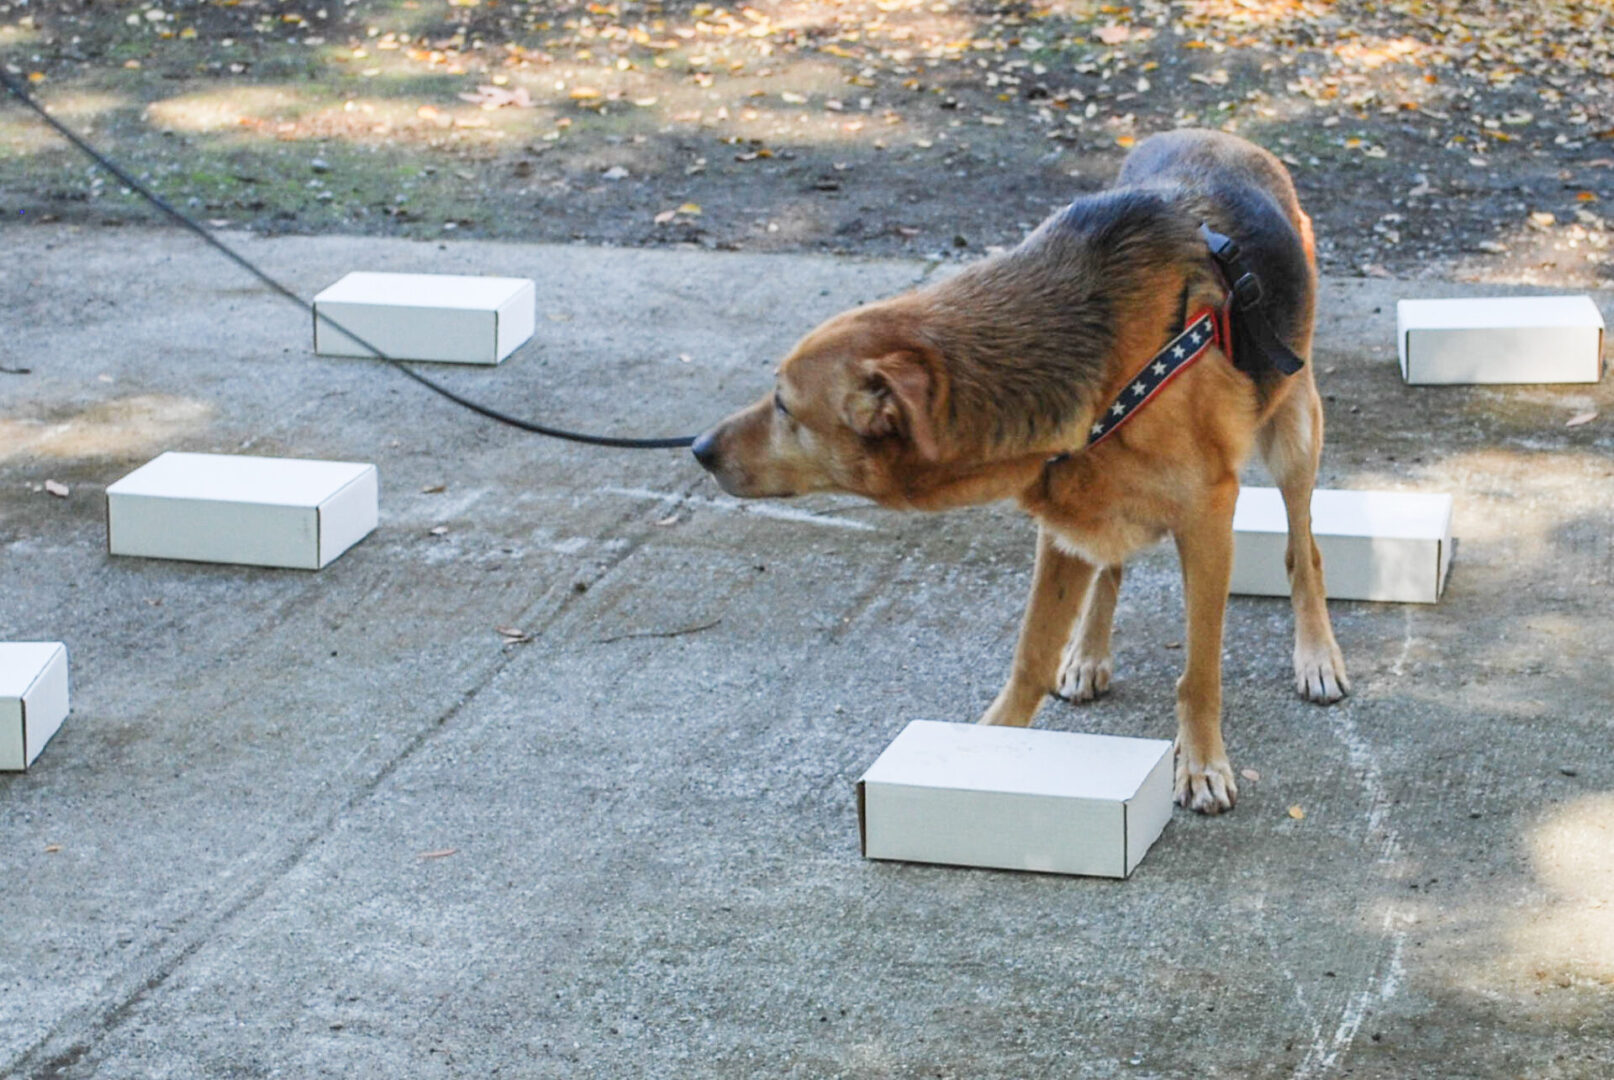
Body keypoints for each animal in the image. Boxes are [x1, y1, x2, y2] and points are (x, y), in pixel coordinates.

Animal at [690, 130, 1349, 813]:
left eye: (784, 406)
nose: (698, 448)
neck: (1108, 368)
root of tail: (1226, 137)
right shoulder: (1061, 524)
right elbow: (1031, 654)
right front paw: (988, 748)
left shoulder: (1209, 521)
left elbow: (1199, 672)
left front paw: (1200, 764)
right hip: (1092, 508)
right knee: (1110, 566)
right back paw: (1088, 650)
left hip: (1294, 437)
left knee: (1304, 551)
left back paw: (1316, 655)